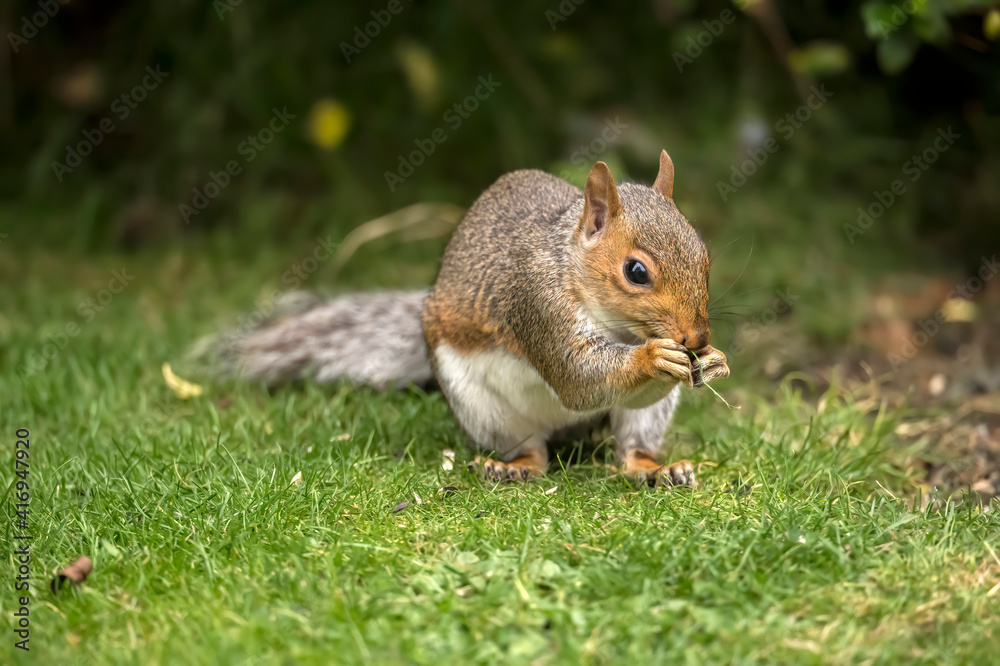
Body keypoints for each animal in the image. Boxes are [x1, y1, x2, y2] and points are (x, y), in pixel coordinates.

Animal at [216, 150, 730, 487]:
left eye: (705, 255)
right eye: (636, 271)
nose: (697, 337)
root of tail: (566, 432)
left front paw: (714, 359)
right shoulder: (536, 304)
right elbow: (578, 378)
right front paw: (653, 358)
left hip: (641, 421)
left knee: (631, 448)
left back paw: (658, 469)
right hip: (481, 408)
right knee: (533, 451)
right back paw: (512, 467)